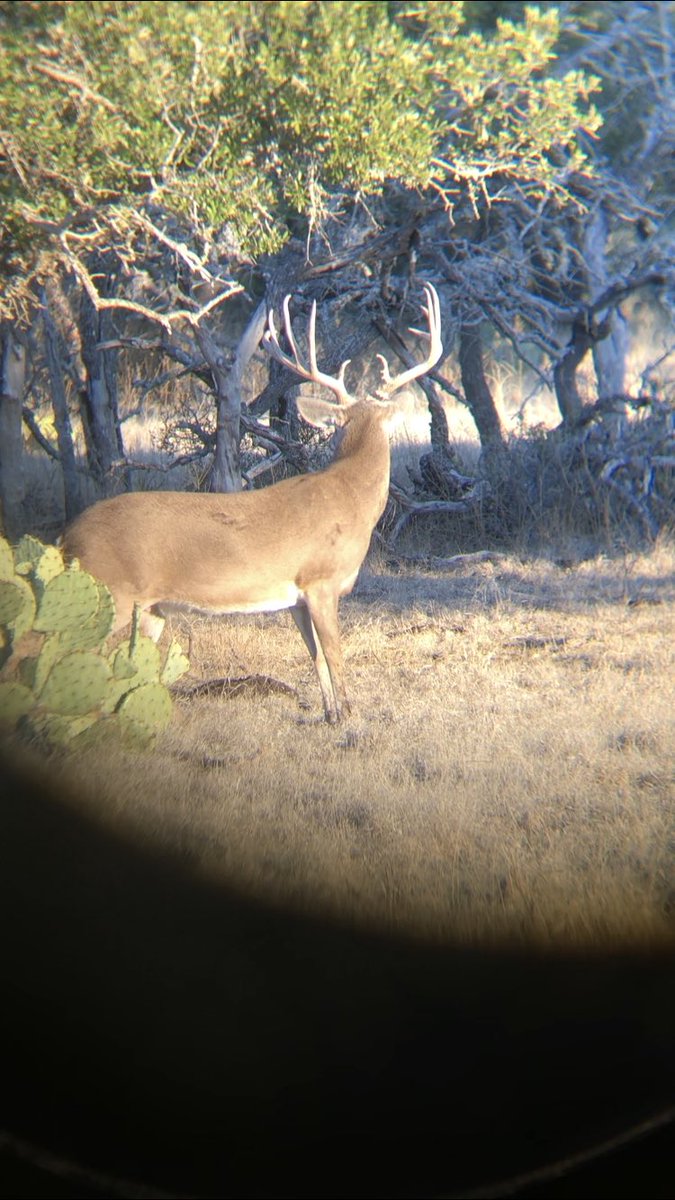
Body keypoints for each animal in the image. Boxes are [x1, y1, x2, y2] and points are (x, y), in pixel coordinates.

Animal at [63, 285, 443, 723]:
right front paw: (350, 717)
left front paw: (329, 715)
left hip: (151, 609)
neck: (351, 499)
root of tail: (67, 536)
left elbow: (314, 656)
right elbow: (335, 655)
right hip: (109, 593)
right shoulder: (321, 580)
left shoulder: (296, 597)